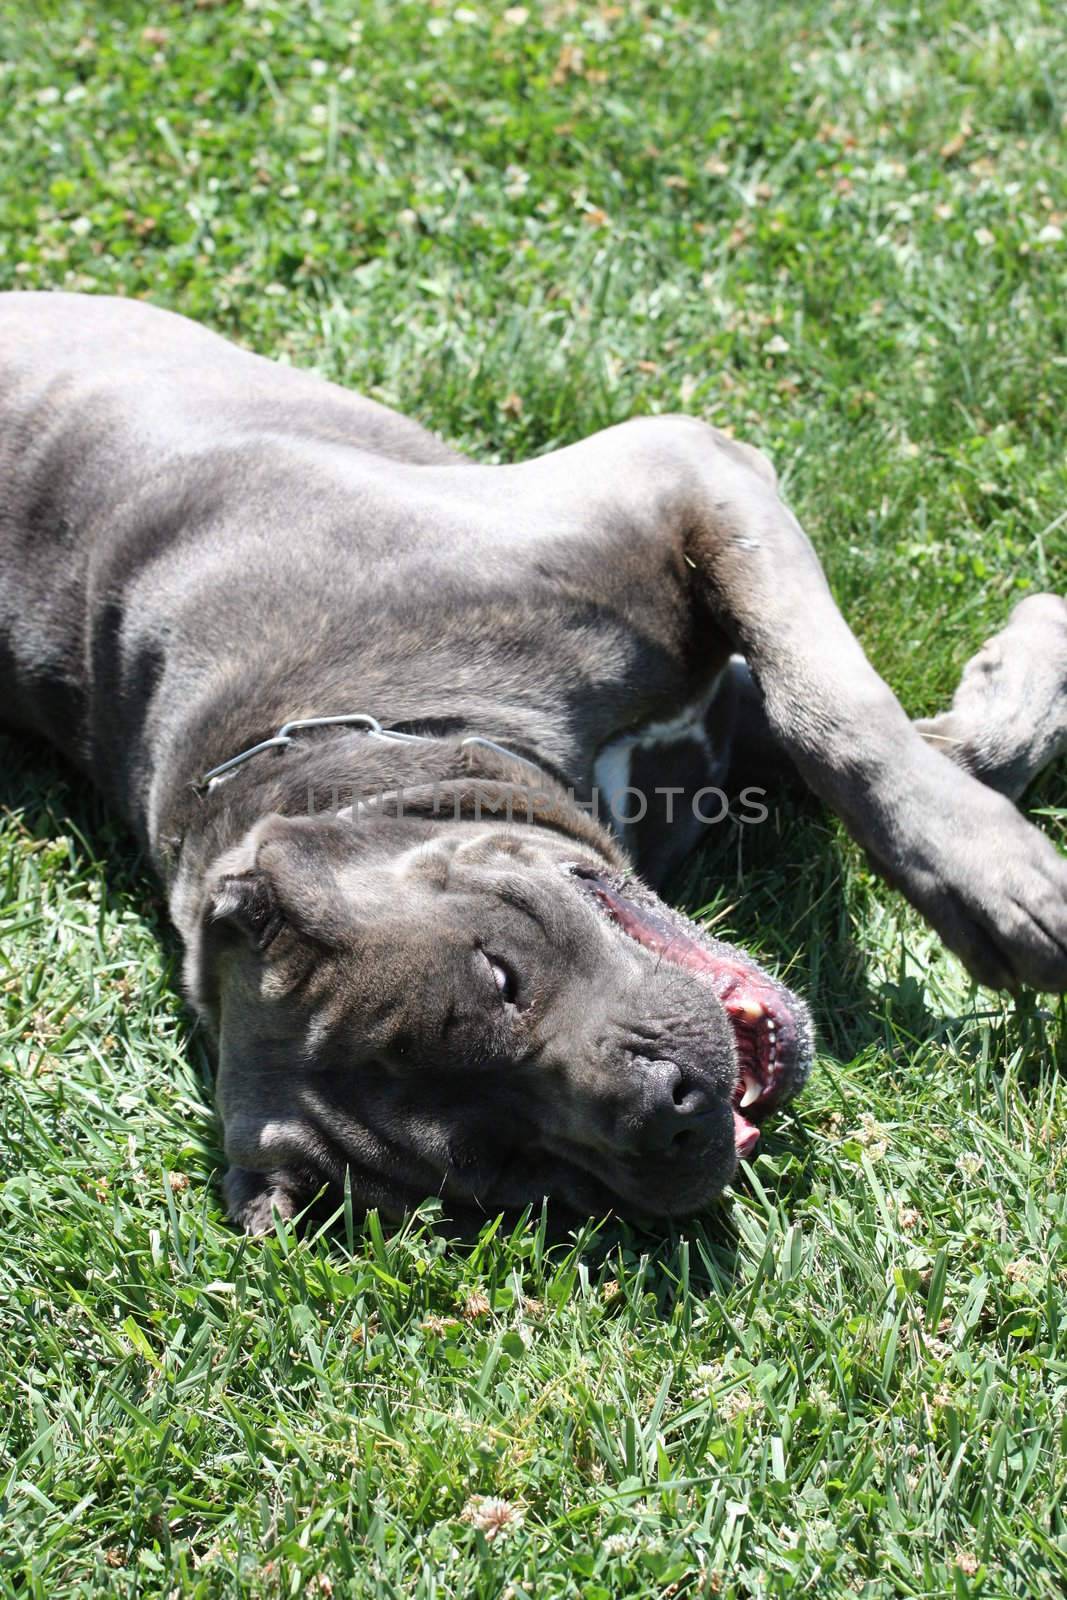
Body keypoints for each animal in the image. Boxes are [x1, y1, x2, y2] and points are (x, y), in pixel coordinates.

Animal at [2, 294, 1067, 1228]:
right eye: (512, 1168)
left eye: (500, 974)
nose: (669, 1115)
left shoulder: (683, 481)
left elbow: (841, 713)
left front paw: (1000, 861)